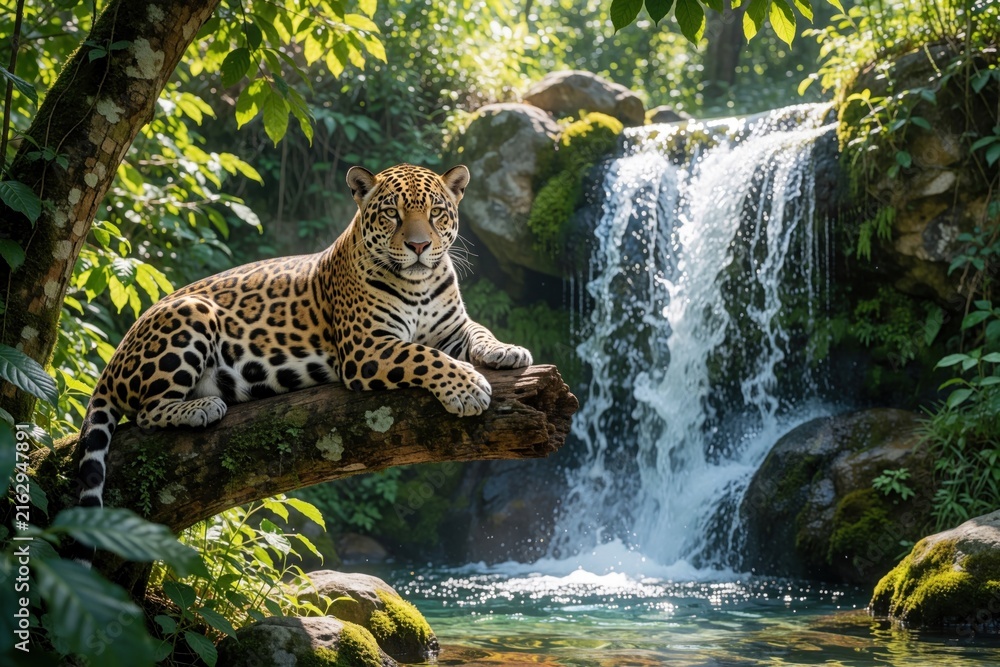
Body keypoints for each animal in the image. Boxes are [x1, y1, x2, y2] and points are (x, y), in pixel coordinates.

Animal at [73, 163, 532, 559]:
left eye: (436, 212)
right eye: (392, 214)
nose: (419, 246)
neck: (419, 285)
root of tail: (112, 363)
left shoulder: (452, 330)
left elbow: (478, 333)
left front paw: (507, 350)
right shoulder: (366, 348)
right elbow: (424, 355)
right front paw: (467, 389)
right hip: (189, 312)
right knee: (147, 412)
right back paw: (201, 407)